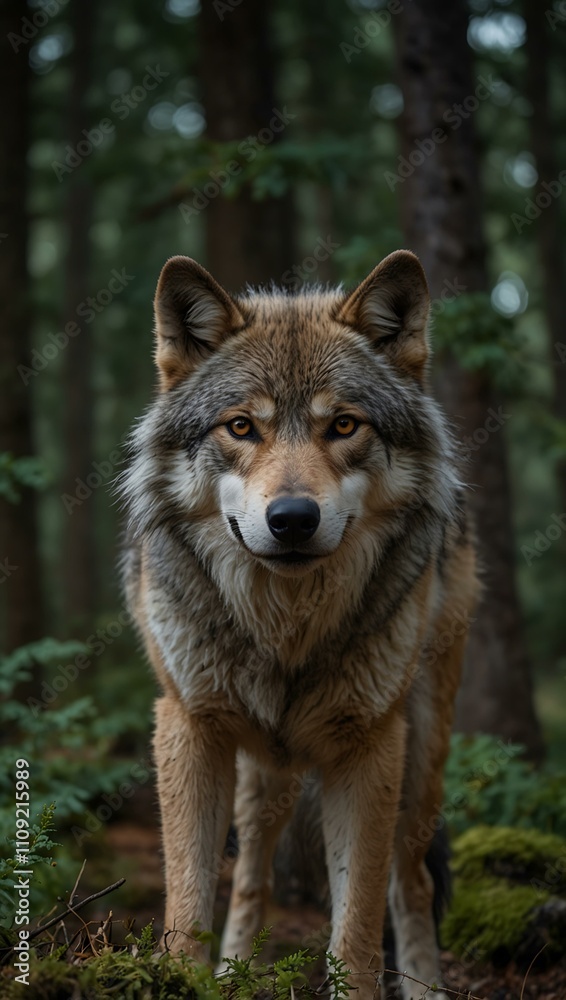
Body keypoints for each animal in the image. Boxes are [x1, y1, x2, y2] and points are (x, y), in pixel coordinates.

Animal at [120, 250, 478, 1000]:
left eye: (343, 426)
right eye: (241, 427)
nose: (291, 519)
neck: (285, 628)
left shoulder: (371, 748)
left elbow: (358, 929)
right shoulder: (188, 726)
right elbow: (187, 902)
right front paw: (185, 978)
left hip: (421, 754)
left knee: (410, 881)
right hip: (263, 775)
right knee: (252, 879)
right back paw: (234, 971)